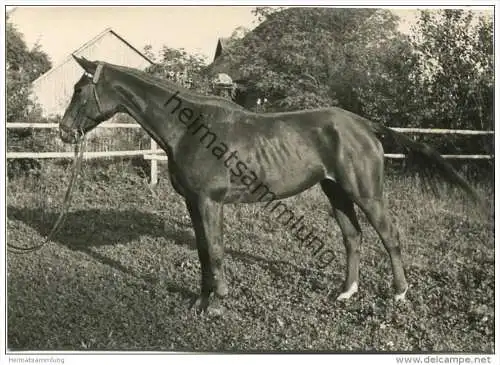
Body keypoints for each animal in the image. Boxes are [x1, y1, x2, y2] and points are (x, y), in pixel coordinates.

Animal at [59, 55, 484, 312]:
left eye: (80, 90)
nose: (63, 132)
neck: (189, 128)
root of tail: (364, 124)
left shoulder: (210, 202)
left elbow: (215, 251)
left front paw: (217, 303)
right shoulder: (193, 203)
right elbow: (202, 251)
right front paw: (200, 301)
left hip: (366, 192)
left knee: (389, 236)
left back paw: (399, 293)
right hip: (336, 191)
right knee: (353, 237)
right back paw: (346, 292)